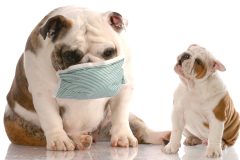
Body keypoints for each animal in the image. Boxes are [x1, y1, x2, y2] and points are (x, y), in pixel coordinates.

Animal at [3, 6, 169, 151]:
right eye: (70, 56)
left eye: (108, 52)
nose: (90, 64)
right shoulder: (43, 95)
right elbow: (52, 119)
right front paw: (59, 140)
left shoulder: (124, 88)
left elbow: (120, 115)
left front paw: (123, 137)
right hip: (22, 127)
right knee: (45, 134)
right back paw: (78, 140)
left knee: (141, 129)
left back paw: (162, 136)